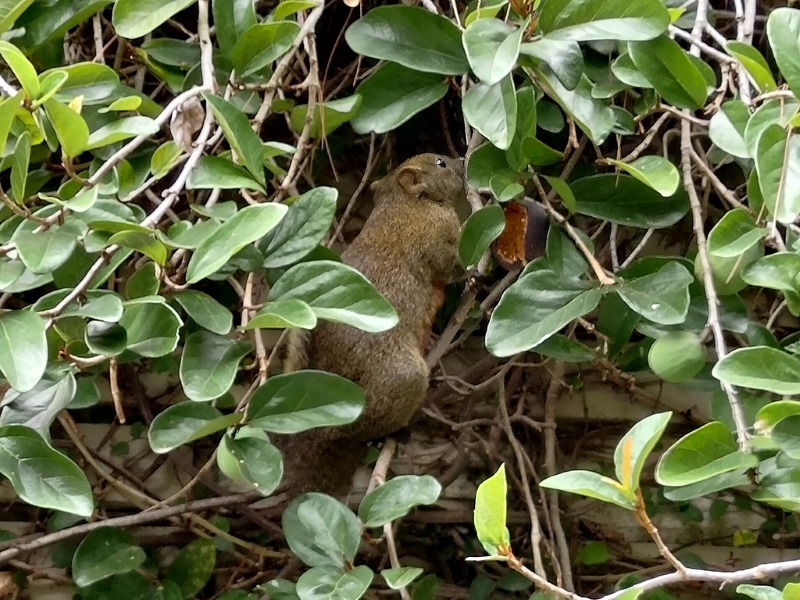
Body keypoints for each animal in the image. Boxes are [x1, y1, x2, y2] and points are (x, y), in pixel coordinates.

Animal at [272, 154, 466, 496]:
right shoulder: (438, 235)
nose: (463, 160)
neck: (403, 202)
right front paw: (476, 272)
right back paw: (391, 433)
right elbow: (448, 266)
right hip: (403, 378)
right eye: (441, 163)